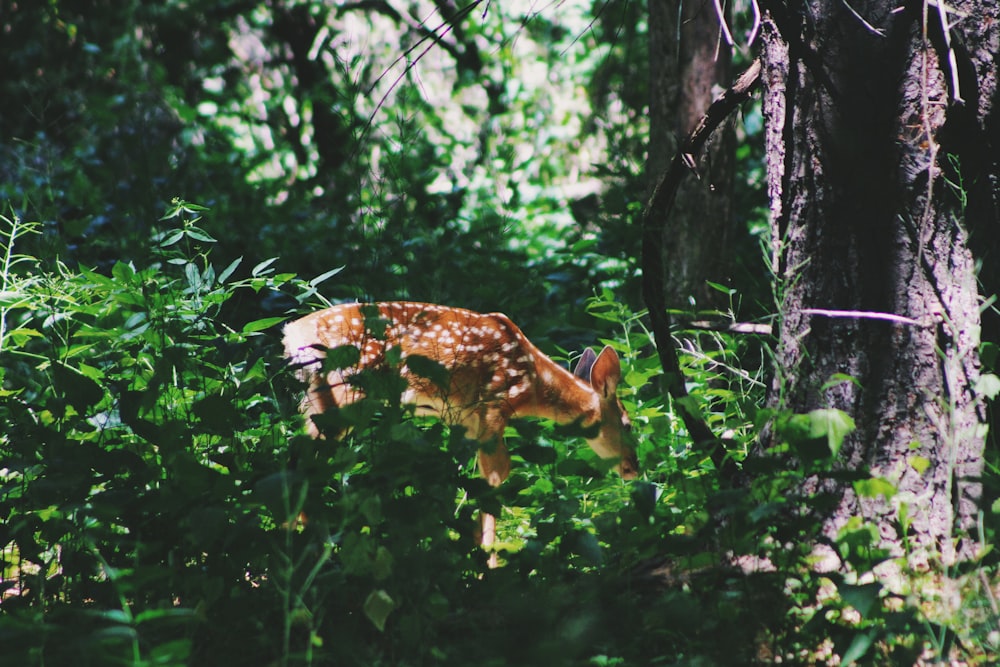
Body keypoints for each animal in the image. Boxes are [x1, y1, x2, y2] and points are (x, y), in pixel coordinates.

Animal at [286, 302, 636, 560]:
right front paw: (488, 563)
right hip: (343, 390)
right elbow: (497, 473)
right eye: (628, 424)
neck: (534, 384)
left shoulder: (466, 417)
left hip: (318, 396)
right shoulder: (496, 400)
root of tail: (292, 333)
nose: (634, 467)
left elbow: (475, 477)